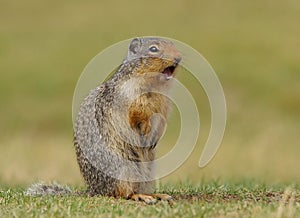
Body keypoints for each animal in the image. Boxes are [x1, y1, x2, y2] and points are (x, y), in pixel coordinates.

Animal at [24, 37, 182, 204]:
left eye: (173, 44)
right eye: (153, 49)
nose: (179, 57)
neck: (157, 86)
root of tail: (94, 190)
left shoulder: (164, 105)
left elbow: (161, 119)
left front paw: (155, 137)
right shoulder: (131, 99)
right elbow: (137, 115)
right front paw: (145, 129)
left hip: (147, 172)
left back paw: (157, 195)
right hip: (124, 169)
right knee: (123, 193)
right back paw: (141, 196)